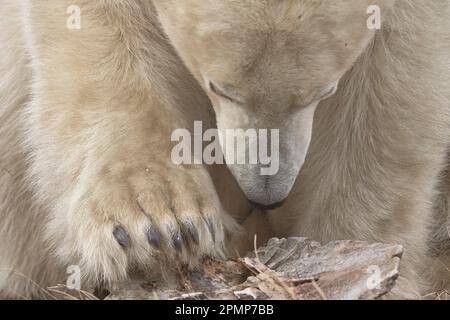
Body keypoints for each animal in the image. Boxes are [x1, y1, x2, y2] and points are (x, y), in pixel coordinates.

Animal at [0, 0, 448, 300]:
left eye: (323, 91)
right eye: (221, 88)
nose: (267, 194)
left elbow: (392, 93)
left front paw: (360, 260)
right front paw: (160, 226)